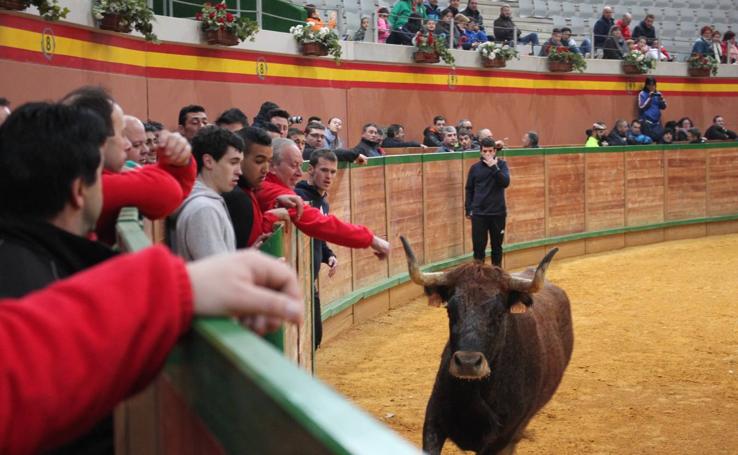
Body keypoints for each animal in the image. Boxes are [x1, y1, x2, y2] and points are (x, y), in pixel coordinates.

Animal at [400, 237, 572, 454]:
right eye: (450, 310)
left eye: (499, 313)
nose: (467, 363)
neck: (473, 392)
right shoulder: (433, 424)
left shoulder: (499, 441)